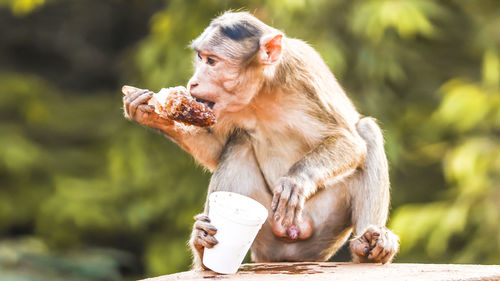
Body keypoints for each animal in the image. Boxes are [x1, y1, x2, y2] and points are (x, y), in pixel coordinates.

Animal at [123, 10, 400, 268]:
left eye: (211, 61)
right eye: (200, 58)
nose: (193, 82)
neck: (261, 91)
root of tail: (288, 246)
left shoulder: (303, 68)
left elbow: (351, 142)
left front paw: (296, 180)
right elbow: (214, 149)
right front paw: (150, 113)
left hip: (323, 225)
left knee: (367, 132)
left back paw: (368, 247)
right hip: (265, 230)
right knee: (239, 142)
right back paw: (202, 249)